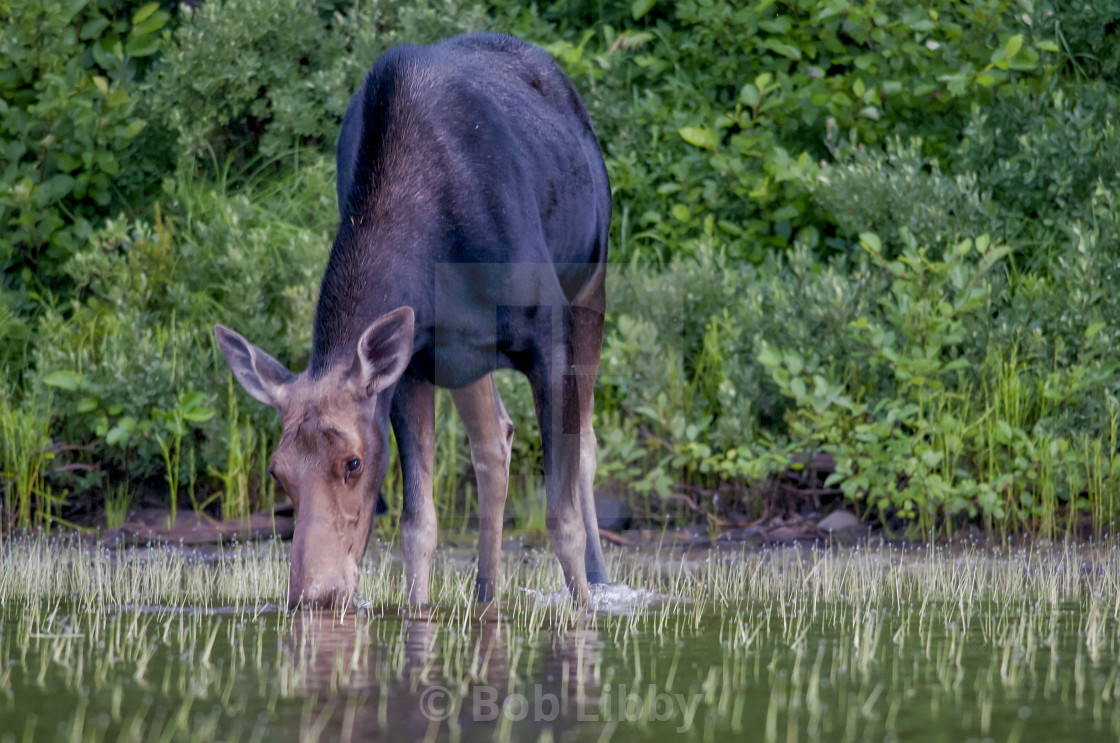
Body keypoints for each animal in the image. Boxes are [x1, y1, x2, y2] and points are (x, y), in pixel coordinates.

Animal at [210, 33, 613, 609]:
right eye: (277, 471)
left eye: (353, 463)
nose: (315, 593)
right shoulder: (413, 364)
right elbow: (418, 526)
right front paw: (418, 611)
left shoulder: (548, 332)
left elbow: (562, 519)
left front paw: (582, 612)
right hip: (466, 357)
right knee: (494, 442)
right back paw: (486, 592)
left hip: (590, 288)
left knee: (585, 444)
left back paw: (599, 582)